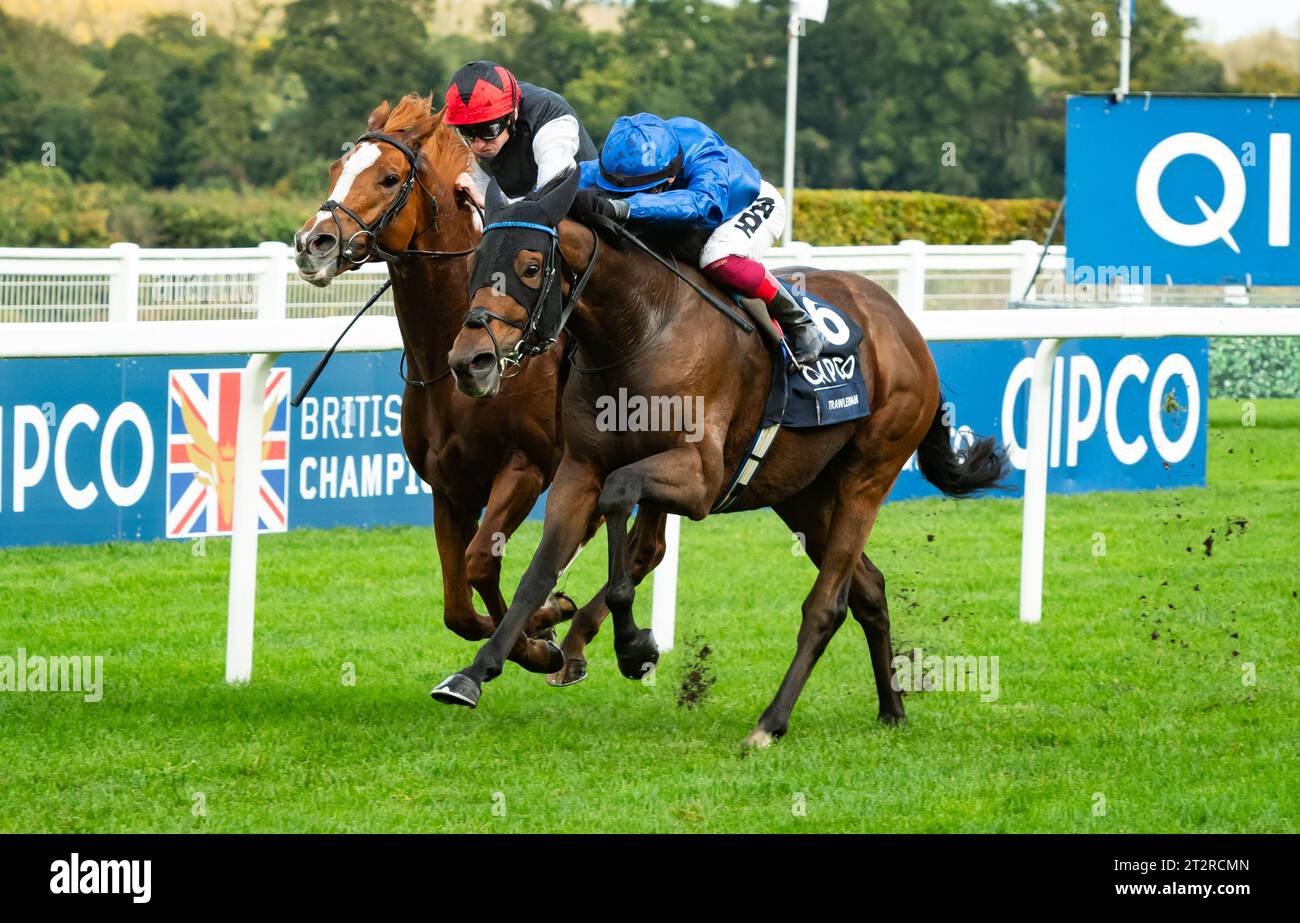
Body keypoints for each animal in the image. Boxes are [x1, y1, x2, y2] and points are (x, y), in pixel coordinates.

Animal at [296, 97, 650, 681]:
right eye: (334, 169)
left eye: (388, 178)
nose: (312, 245)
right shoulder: (448, 485)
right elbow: (457, 607)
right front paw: (537, 626)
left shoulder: (526, 467)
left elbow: (482, 561)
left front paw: (536, 639)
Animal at [431, 171, 1008, 754]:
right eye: (477, 263)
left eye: (530, 267)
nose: (470, 361)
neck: (641, 329)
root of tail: (906, 328)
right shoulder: (579, 470)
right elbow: (540, 571)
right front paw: (476, 672)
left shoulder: (700, 480)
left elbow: (620, 496)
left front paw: (634, 646)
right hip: (802, 494)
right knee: (868, 589)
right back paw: (892, 708)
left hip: (868, 474)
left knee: (827, 605)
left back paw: (770, 722)